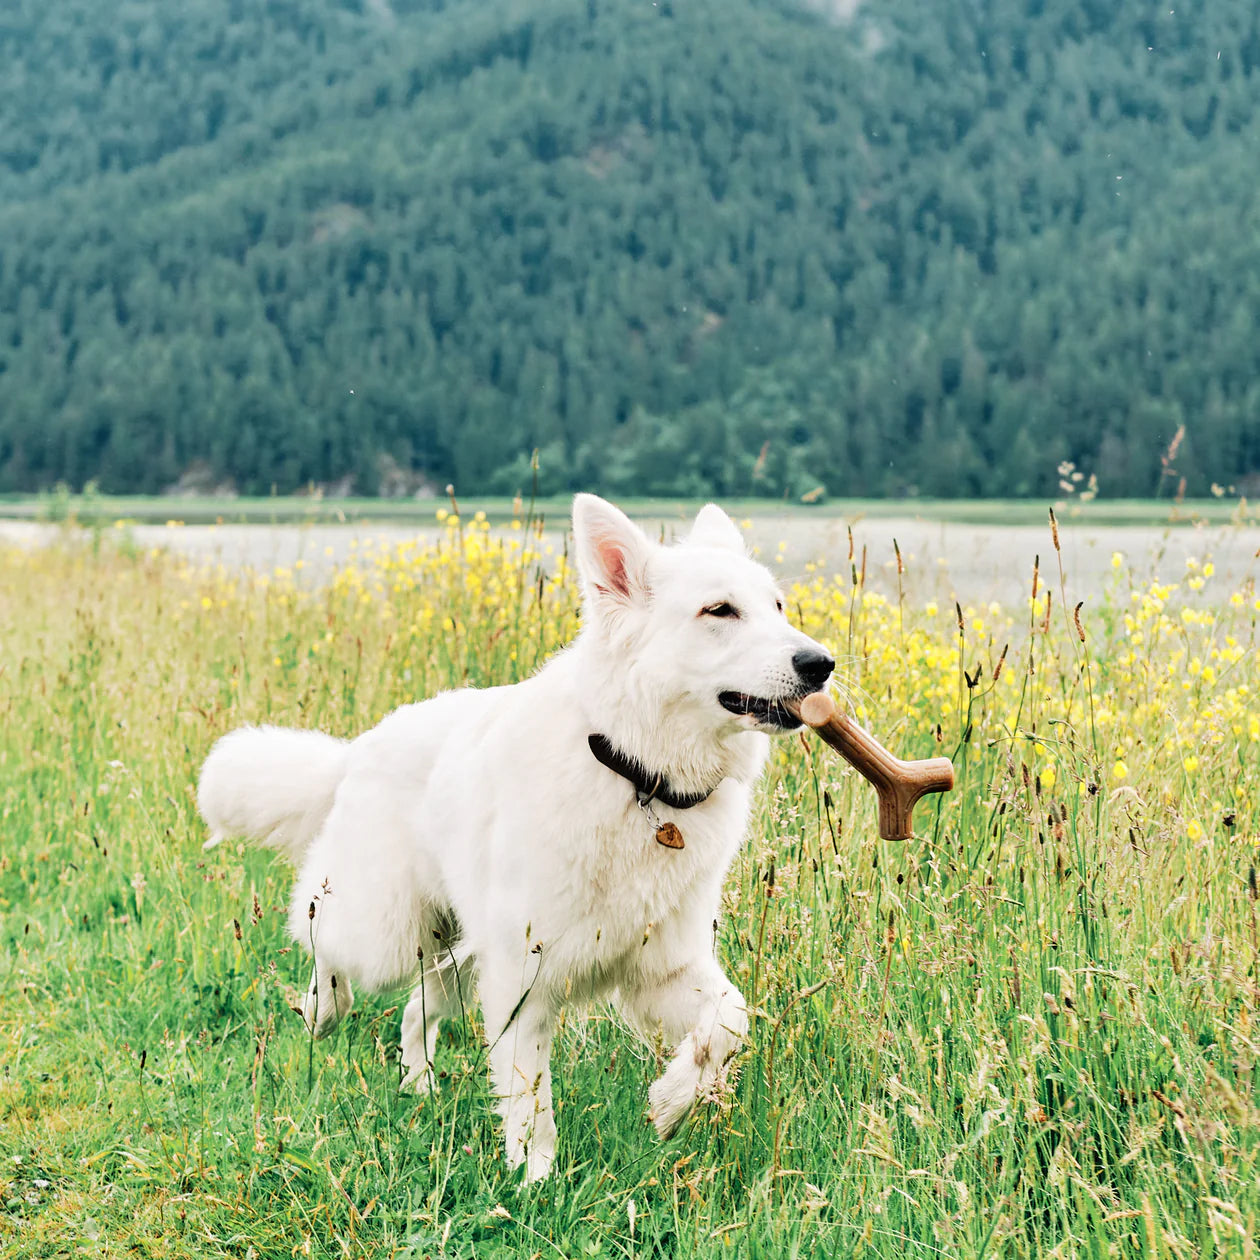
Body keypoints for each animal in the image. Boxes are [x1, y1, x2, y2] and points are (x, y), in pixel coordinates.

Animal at [196, 493, 831, 1179]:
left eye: (777, 606)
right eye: (720, 610)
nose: (820, 664)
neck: (636, 776)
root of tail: (360, 747)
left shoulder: (660, 966)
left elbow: (731, 1021)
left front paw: (671, 1101)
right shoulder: (524, 978)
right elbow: (529, 1093)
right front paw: (535, 1179)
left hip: (462, 958)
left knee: (416, 1008)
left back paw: (420, 1087)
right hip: (390, 935)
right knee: (325, 938)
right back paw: (322, 1010)